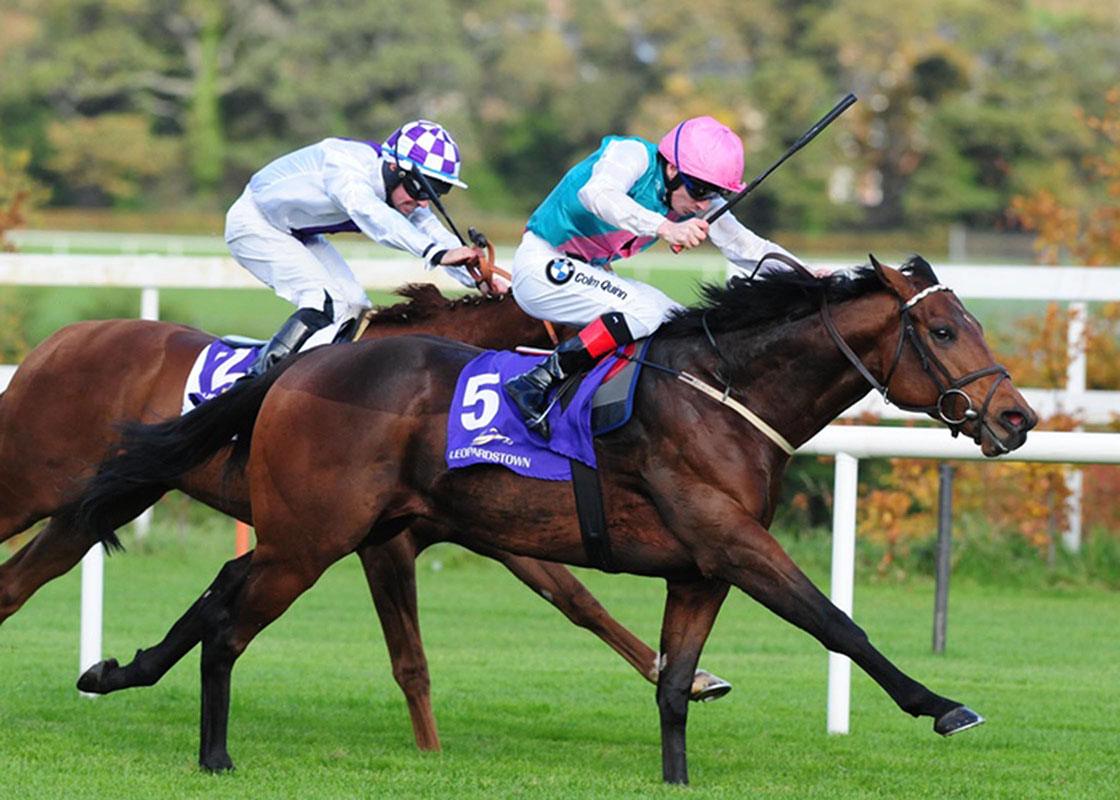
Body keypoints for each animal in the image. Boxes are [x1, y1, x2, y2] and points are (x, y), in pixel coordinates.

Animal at [0, 283, 725, 752]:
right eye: (603, 324)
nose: (636, 381)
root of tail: (60, 340)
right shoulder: (383, 543)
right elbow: (411, 659)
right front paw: (431, 754)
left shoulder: (475, 526)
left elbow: (576, 599)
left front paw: (691, 677)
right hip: (29, 481)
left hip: (98, 503)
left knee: (16, 584)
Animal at [76, 255, 1039, 779]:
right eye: (944, 332)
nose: (1017, 417)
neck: (725, 397)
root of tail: (298, 369)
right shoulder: (734, 542)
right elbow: (837, 624)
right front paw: (943, 705)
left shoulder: (699, 568)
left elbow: (672, 686)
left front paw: (677, 776)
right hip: (312, 539)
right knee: (229, 624)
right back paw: (214, 755)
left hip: (320, 532)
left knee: (220, 589)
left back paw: (119, 671)